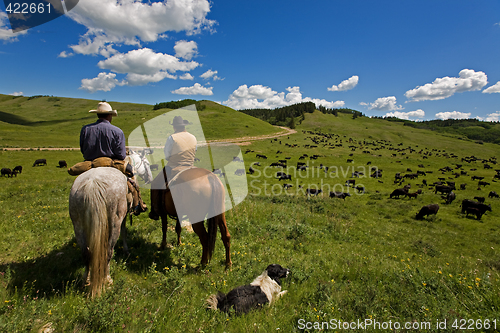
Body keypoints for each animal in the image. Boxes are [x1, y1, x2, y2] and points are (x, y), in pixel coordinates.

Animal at [69, 167, 131, 296]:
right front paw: (126, 250)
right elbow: (124, 232)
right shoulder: (123, 217)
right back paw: (107, 279)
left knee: (86, 254)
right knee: (108, 252)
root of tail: (93, 185)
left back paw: (86, 280)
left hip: (78, 226)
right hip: (114, 224)